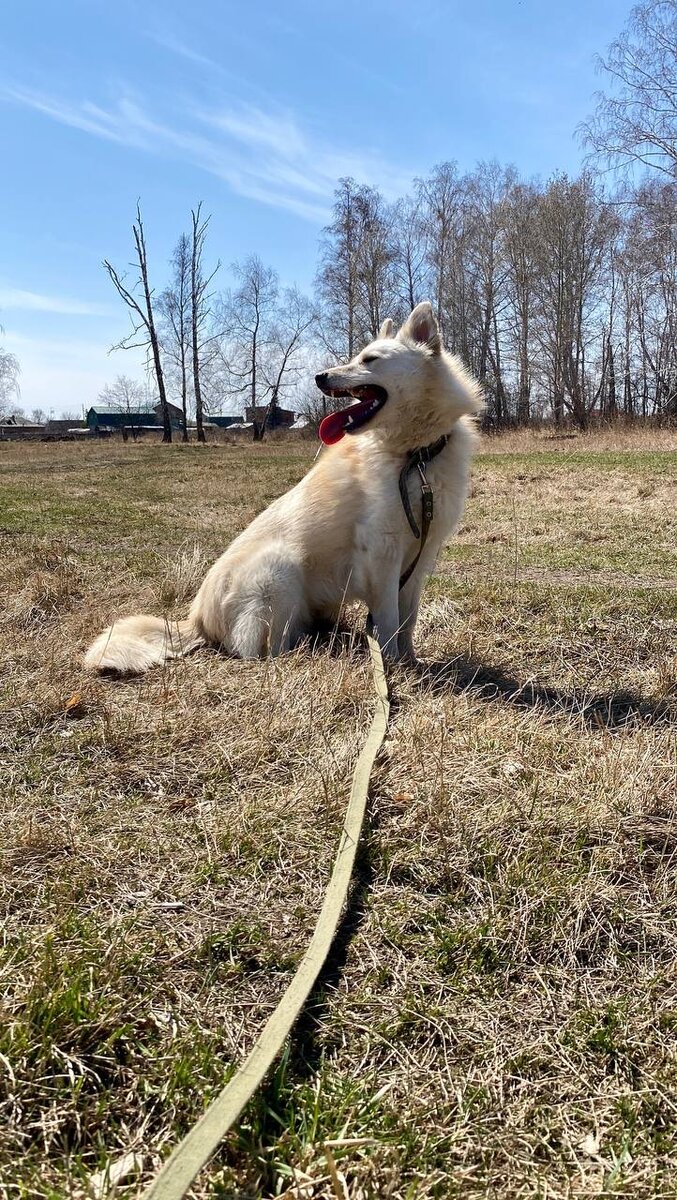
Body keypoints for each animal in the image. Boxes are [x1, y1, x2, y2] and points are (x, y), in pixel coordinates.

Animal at [84, 302, 484, 676]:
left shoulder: (420, 557)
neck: (415, 456)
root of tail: (196, 620)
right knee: (263, 651)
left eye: (370, 360)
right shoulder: (382, 556)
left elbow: (407, 620)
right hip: (280, 568)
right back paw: (311, 651)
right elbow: (387, 622)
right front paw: (392, 666)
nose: (320, 376)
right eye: (357, 357)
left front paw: (411, 661)